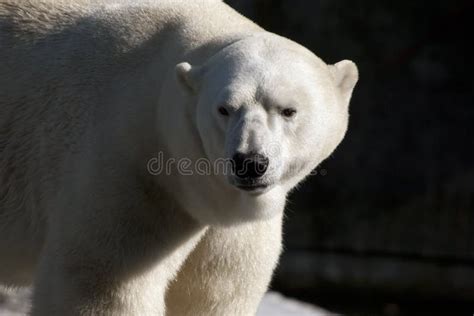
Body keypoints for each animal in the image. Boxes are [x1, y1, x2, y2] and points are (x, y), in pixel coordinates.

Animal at [0, 0, 358, 316]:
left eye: (288, 110)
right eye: (224, 109)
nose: (250, 162)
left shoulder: (232, 231)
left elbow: (217, 292)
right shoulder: (133, 170)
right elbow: (102, 282)